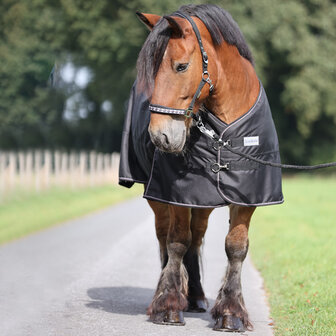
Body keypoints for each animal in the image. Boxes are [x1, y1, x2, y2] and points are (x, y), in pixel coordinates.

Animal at [121, 3, 284, 332]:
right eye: (151, 72)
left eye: (181, 67)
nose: (160, 136)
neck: (223, 134)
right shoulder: (177, 194)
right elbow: (176, 243)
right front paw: (169, 305)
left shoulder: (247, 196)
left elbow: (235, 247)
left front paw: (231, 312)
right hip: (158, 197)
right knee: (165, 236)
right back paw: (165, 296)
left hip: (203, 203)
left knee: (196, 239)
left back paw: (195, 296)